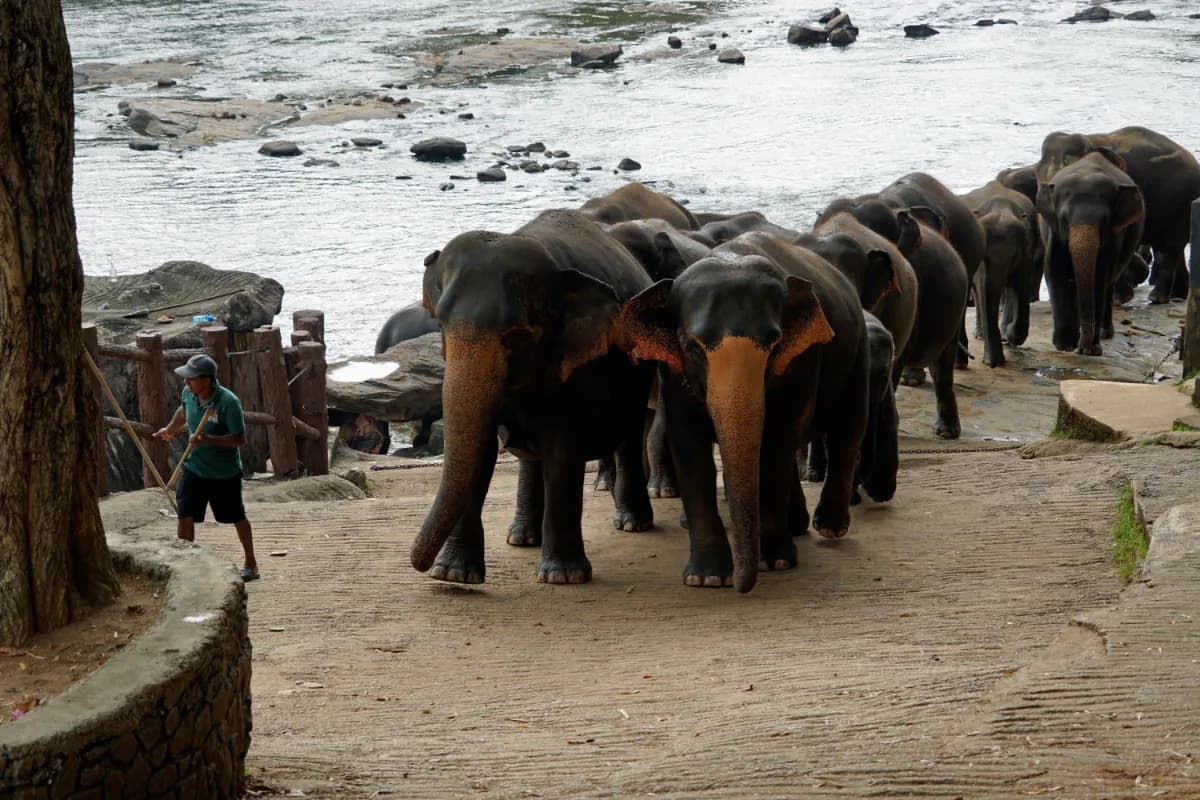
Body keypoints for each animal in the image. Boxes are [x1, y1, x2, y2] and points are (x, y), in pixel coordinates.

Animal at [409, 209, 656, 586]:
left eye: (516, 335)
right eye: (441, 327)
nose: (418, 565)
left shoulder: (578, 362)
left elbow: (562, 450)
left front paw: (563, 576)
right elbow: (481, 450)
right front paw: (453, 574)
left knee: (628, 435)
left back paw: (632, 523)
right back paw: (522, 538)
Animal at [621, 231, 869, 592]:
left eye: (775, 344)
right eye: (692, 347)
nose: (742, 586)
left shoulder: (801, 359)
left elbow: (778, 439)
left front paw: (775, 562)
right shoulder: (673, 371)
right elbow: (689, 443)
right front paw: (707, 578)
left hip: (859, 347)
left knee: (848, 429)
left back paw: (828, 527)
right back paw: (796, 526)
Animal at [959, 180, 1041, 367]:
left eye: (1014, 256)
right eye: (982, 256)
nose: (992, 363)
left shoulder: (1026, 252)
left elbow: (1020, 285)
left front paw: (1010, 337)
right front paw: (994, 360)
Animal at [1035, 152, 1145, 355]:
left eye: (1104, 221)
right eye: (1064, 219)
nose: (1082, 347)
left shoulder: (1114, 235)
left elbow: (1099, 277)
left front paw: (1090, 350)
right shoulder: (1054, 232)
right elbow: (1054, 271)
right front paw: (1064, 346)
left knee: (1109, 283)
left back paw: (1104, 333)